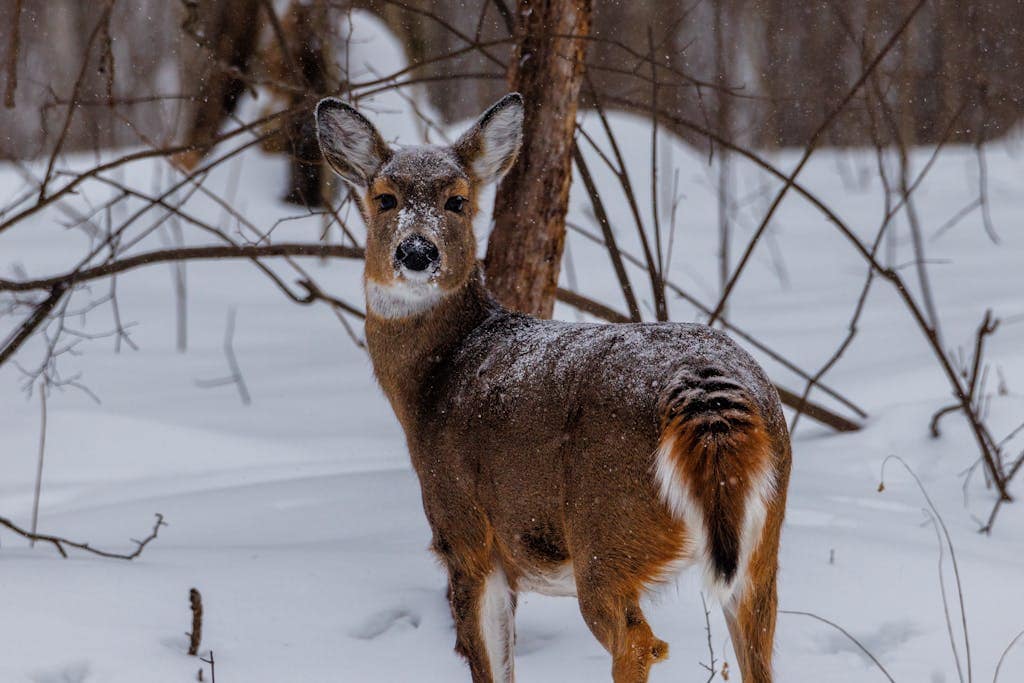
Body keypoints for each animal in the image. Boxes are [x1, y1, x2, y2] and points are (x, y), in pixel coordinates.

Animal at [314, 92, 791, 683]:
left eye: (457, 200)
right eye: (385, 198)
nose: (417, 253)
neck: (435, 379)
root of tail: (705, 385)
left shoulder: (465, 533)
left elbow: (490, 662)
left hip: (607, 533)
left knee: (640, 643)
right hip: (761, 545)